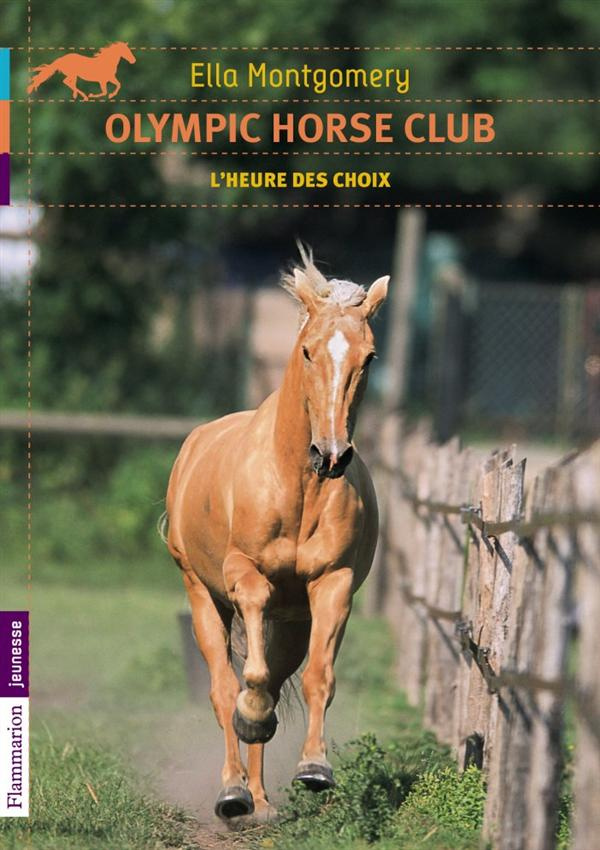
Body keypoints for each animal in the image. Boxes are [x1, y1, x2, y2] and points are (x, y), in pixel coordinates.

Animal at [165, 247, 388, 820]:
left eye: (369, 358)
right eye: (308, 352)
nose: (331, 454)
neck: (297, 486)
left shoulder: (332, 584)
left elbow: (317, 678)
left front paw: (315, 768)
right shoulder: (243, 574)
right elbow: (249, 680)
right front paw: (251, 716)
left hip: (292, 622)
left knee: (279, 678)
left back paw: (260, 800)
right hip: (201, 595)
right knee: (223, 687)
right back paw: (233, 792)